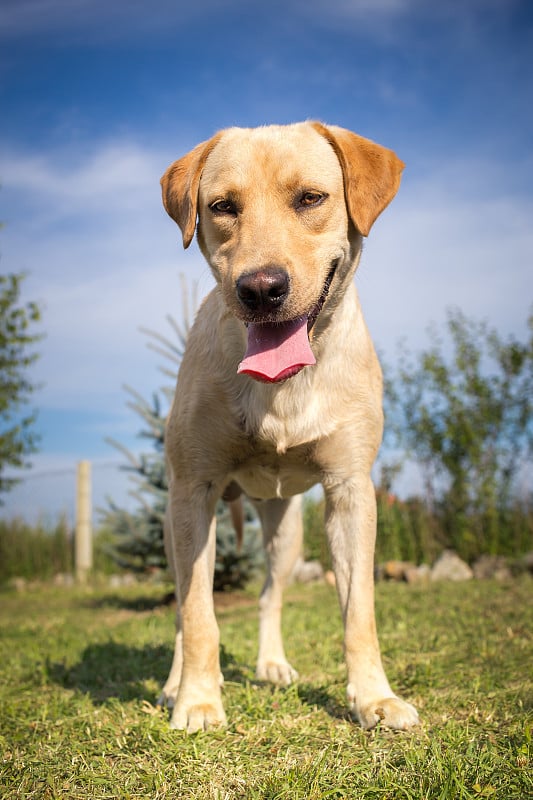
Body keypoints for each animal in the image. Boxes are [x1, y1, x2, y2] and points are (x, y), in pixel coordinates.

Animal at [158, 123, 420, 732]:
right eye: (222, 206)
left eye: (310, 198)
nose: (260, 288)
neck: (284, 386)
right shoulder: (193, 490)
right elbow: (199, 614)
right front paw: (198, 699)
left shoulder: (351, 490)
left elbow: (359, 612)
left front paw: (374, 698)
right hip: (174, 520)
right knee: (184, 603)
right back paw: (175, 682)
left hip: (287, 531)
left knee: (268, 594)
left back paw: (272, 664)